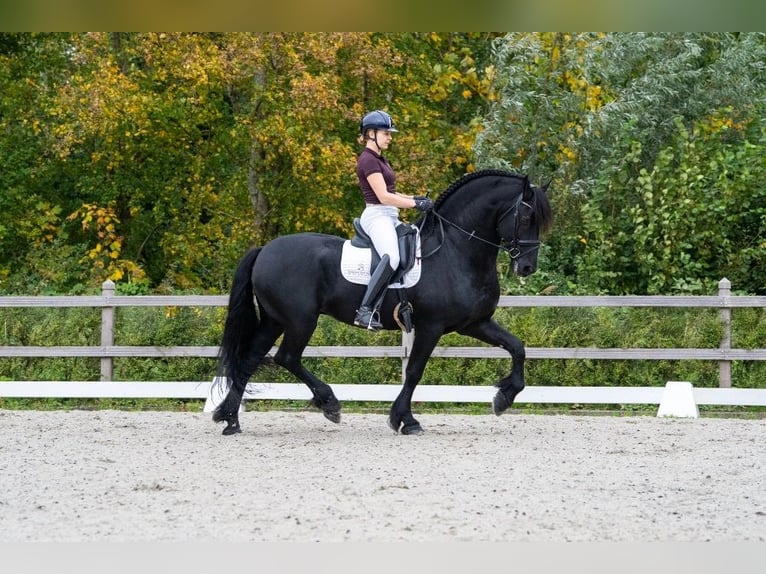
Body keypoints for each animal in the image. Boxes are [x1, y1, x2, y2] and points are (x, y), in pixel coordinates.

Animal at [213, 169, 552, 435]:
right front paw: (405, 420)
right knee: (287, 358)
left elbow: (517, 347)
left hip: (275, 319)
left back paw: (229, 419)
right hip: (300, 320)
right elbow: (414, 371)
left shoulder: (475, 323)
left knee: (250, 359)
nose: (527, 267)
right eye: (526, 216)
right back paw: (329, 404)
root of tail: (265, 249)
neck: (456, 251)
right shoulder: (431, 326)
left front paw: (504, 397)